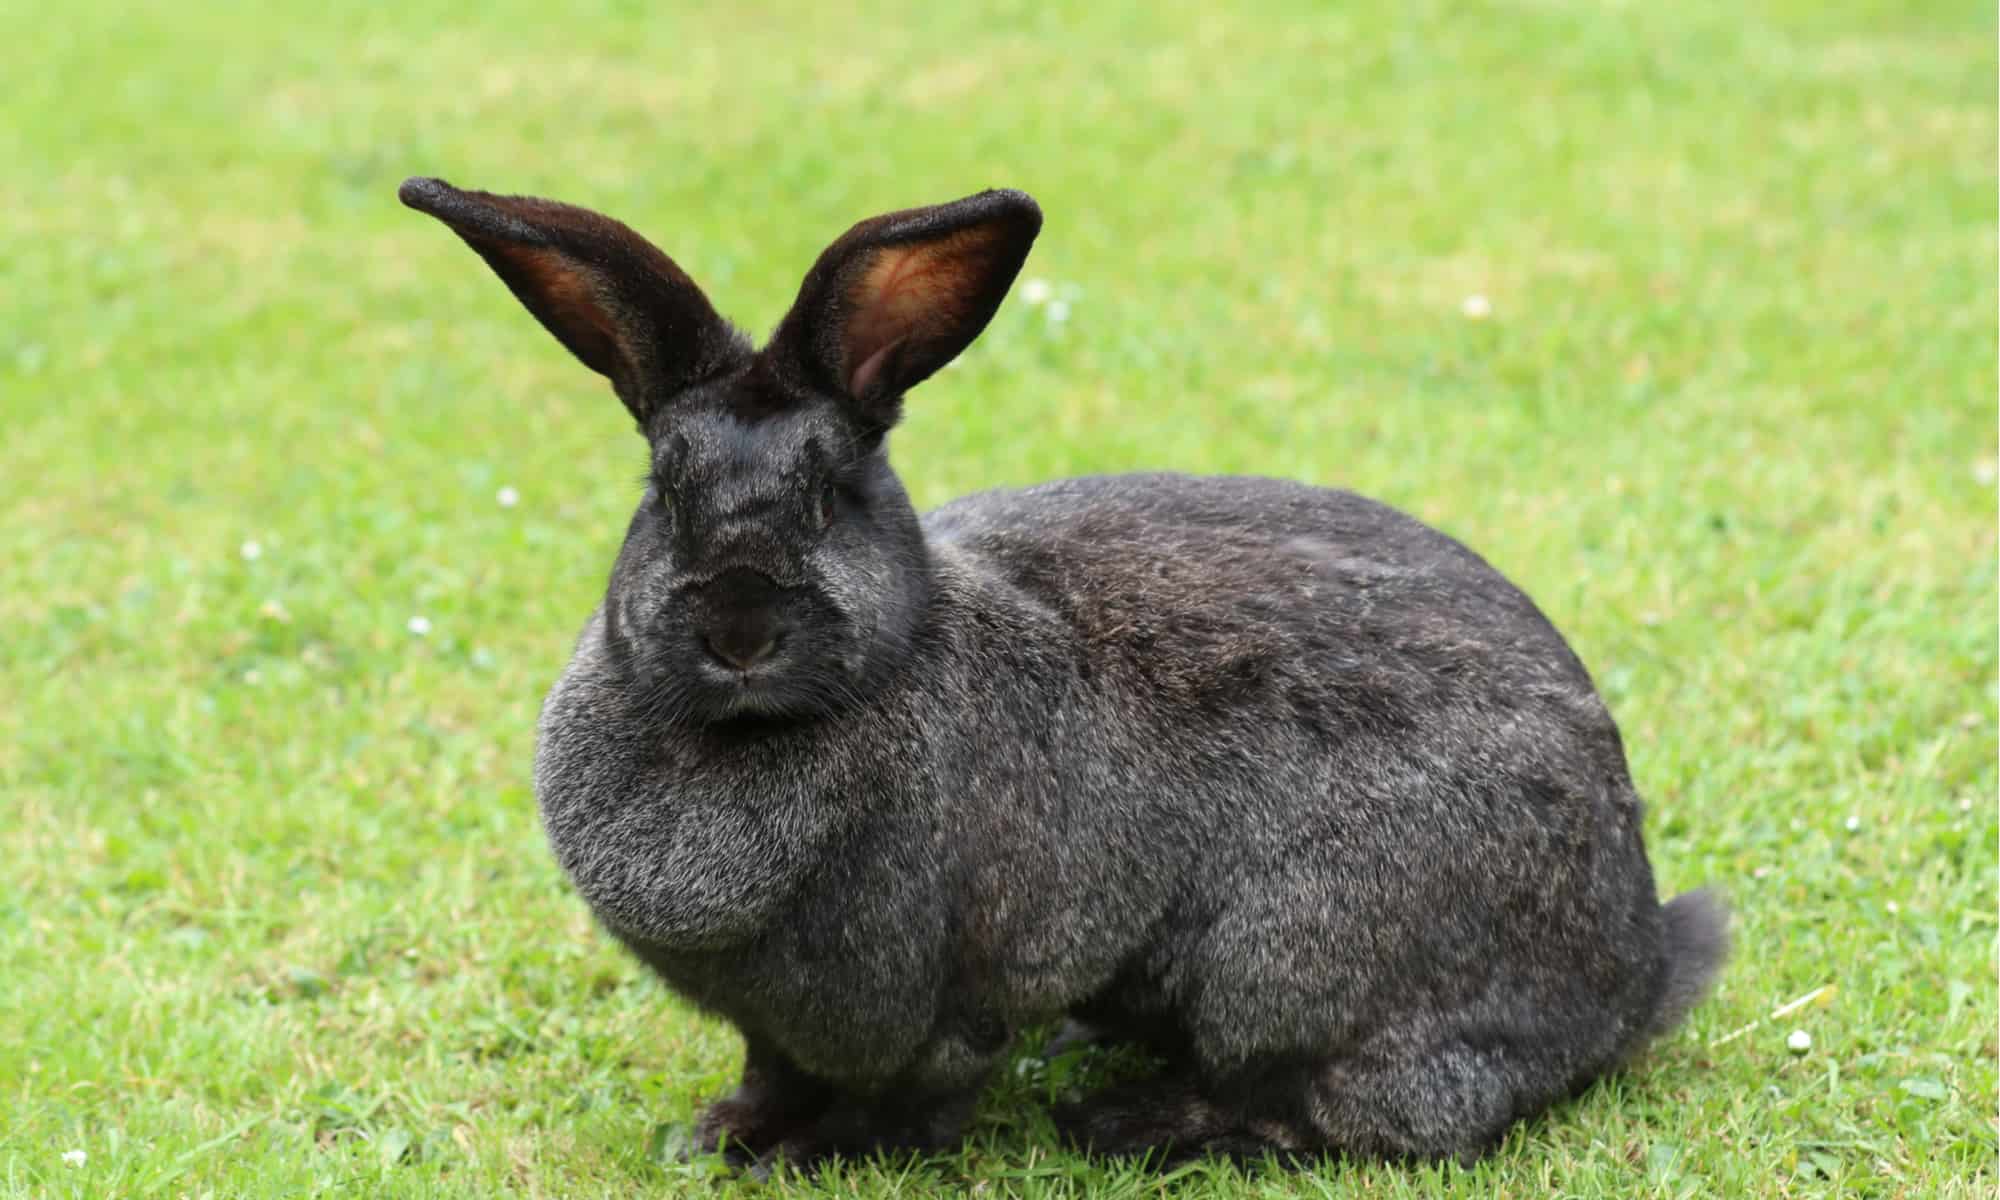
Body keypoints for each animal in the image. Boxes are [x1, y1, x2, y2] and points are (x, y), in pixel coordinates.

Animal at [398, 173, 1728, 1168]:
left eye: (828, 499)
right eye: (663, 497)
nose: (737, 629)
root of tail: (1629, 975)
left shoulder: (935, 1000)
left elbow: (909, 1093)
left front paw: (814, 1154)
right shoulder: (773, 1024)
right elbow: (769, 1070)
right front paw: (725, 1137)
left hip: (1287, 968)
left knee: (1354, 1113)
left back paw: (1131, 1120)